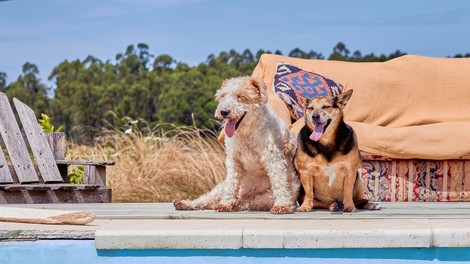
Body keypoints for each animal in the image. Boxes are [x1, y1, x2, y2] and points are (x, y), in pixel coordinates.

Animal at [174, 76, 300, 214]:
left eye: (241, 96)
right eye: (222, 96)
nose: (224, 111)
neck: (246, 133)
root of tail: (246, 193)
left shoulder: (273, 158)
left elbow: (279, 181)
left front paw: (282, 205)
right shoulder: (233, 160)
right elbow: (231, 184)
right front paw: (225, 203)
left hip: (264, 198)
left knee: (243, 203)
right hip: (220, 188)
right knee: (205, 199)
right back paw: (185, 203)